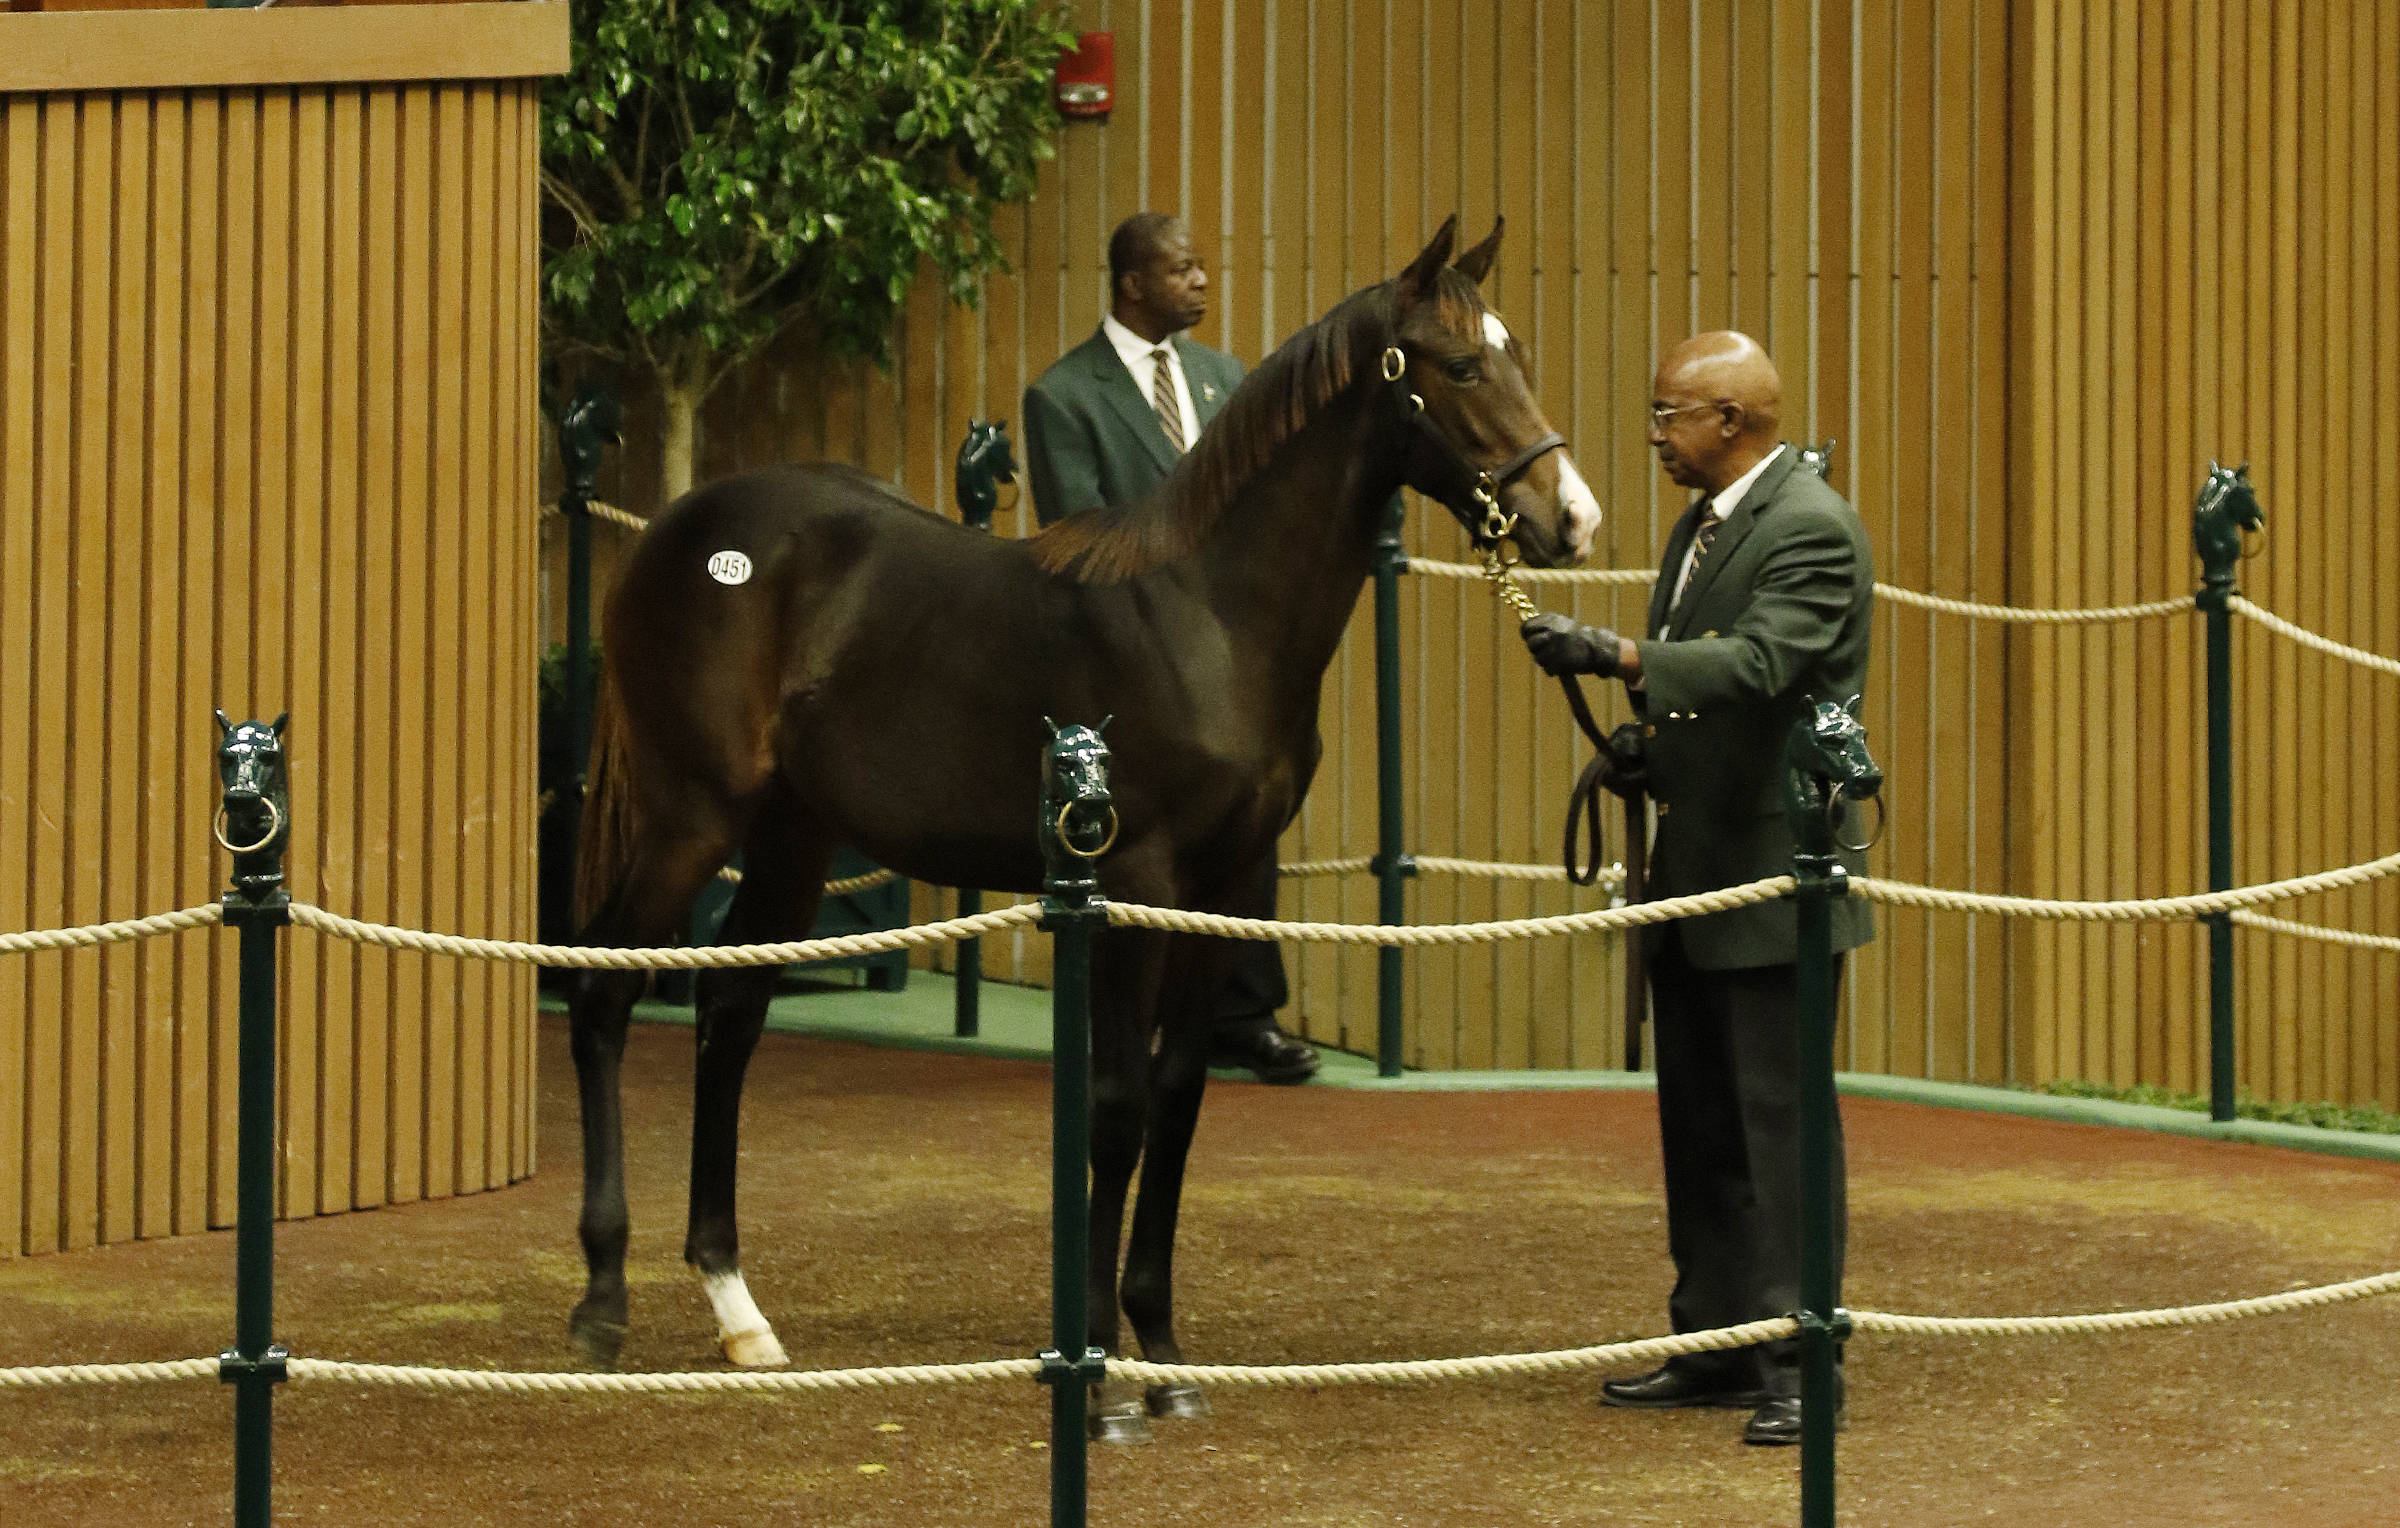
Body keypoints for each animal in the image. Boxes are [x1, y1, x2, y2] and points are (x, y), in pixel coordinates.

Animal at [566, 217, 1593, 1429]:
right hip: (691, 819)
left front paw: (1166, 1356)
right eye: (1463, 366)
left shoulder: (1227, 887)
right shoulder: (1135, 884)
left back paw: (739, 1312)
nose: (1573, 517)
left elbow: (1181, 1094)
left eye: (1516, 353)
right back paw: (602, 1301)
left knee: (728, 1021)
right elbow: (1115, 1108)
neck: (1208, 613)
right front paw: (1097, 1367)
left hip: (791, 840)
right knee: (604, 990)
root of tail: (676, 531)